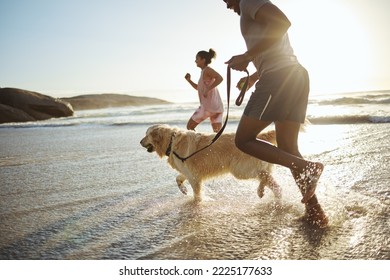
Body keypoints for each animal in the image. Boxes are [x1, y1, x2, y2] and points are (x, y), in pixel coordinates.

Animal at [140, 124, 280, 201]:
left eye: (146, 135)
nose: (140, 142)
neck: (171, 142)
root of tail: (260, 137)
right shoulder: (188, 171)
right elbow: (178, 178)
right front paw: (184, 190)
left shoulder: (194, 177)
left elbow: (197, 195)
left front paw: (197, 202)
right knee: (275, 184)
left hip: (240, 170)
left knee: (264, 175)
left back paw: (261, 191)